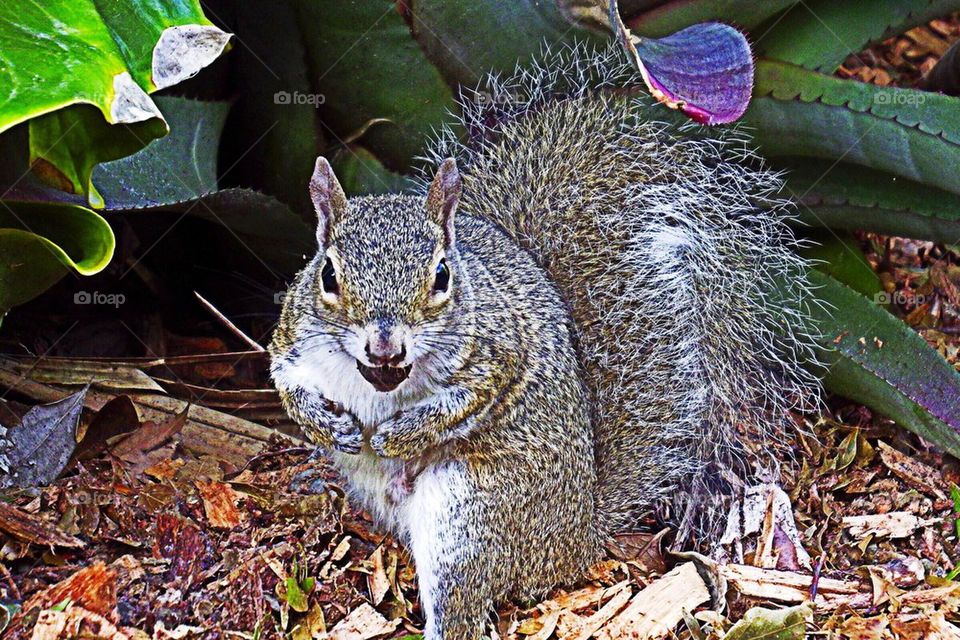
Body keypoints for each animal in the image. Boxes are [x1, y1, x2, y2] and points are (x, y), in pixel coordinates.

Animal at [269, 43, 819, 639]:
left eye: (441, 276)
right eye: (327, 275)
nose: (385, 347)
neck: (379, 384)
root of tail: (576, 539)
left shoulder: (498, 354)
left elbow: (466, 400)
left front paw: (400, 436)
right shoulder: (291, 339)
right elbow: (285, 381)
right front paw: (327, 426)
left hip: (469, 514)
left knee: (462, 608)